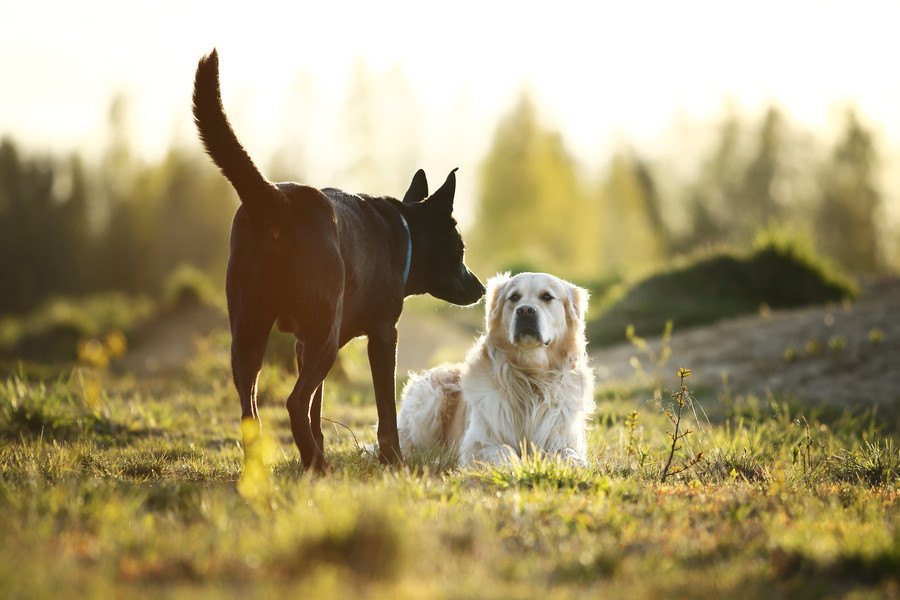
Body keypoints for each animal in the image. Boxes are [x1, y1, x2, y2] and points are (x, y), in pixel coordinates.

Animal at [192, 50, 486, 474]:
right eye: (460, 248)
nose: (480, 288)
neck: (403, 230)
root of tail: (277, 202)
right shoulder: (383, 335)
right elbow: (383, 411)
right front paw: (392, 460)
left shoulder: (301, 341)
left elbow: (317, 409)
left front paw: (316, 448)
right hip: (323, 337)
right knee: (293, 401)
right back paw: (317, 464)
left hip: (248, 331)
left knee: (252, 407)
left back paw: (271, 468)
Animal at [398, 274, 596, 468]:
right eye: (514, 297)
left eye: (547, 297)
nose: (525, 310)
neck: (531, 377)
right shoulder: (477, 443)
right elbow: (503, 450)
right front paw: (516, 467)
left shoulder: (563, 438)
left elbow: (568, 453)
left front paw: (576, 464)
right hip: (430, 399)